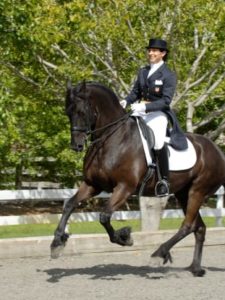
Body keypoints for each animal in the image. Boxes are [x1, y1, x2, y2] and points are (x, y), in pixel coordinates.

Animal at [51, 80, 225, 276]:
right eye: (68, 112)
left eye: (81, 111)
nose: (76, 145)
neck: (112, 140)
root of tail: (217, 150)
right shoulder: (92, 185)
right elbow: (70, 205)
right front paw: (57, 242)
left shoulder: (124, 187)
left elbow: (104, 216)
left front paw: (124, 237)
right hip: (183, 193)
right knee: (199, 227)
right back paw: (195, 268)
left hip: (198, 191)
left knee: (187, 225)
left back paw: (159, 254)